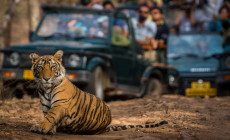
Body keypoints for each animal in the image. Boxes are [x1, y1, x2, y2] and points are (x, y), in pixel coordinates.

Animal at [29, 50, 167, 135]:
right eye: (40, 67)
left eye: (53, 67)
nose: (46, 78)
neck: (46, 89)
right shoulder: (46, 106)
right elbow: (48, 116)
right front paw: (49, 129)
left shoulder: (60, 104)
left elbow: (50, 116)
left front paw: (40, 127)